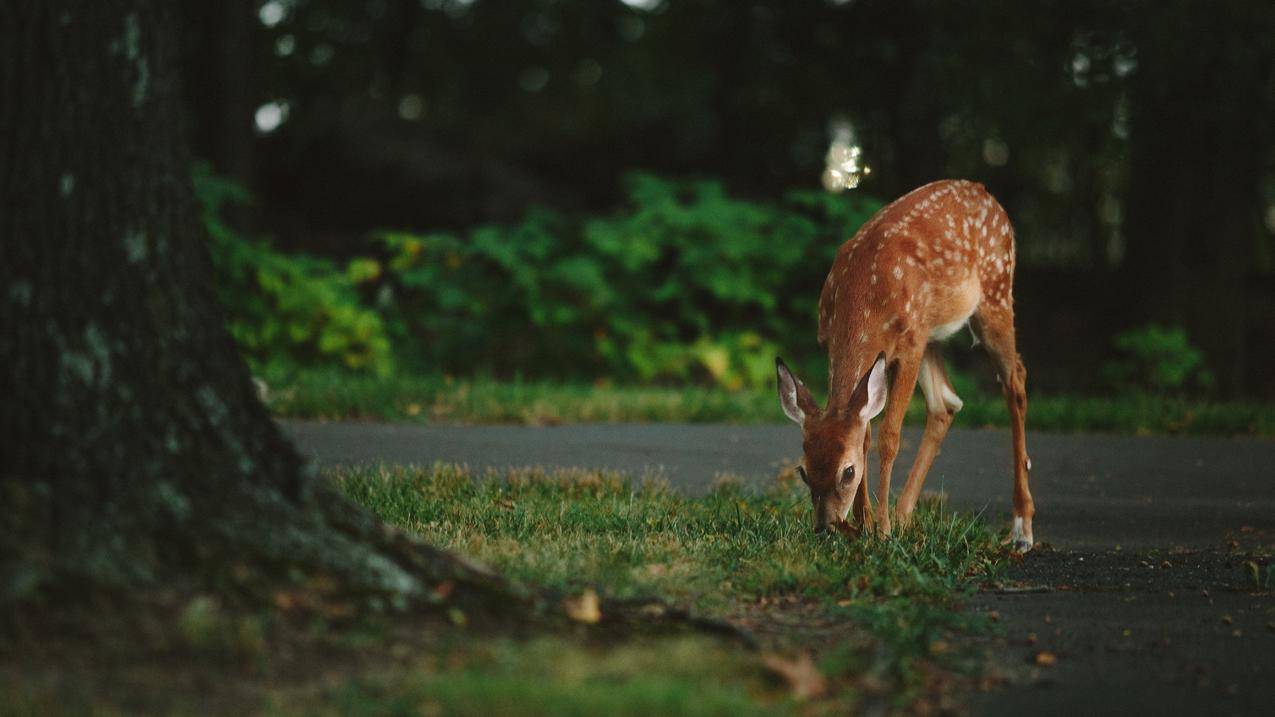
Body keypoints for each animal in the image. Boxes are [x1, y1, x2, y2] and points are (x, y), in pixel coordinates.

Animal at [775, 178, 1035, 553]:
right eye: (803, 471)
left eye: (848, 472)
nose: (825, 528)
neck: (863, 297)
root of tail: (984, 192)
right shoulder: (838, 343)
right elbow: (865, 432)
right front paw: (866, 524)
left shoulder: (909, 345)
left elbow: (888, 436)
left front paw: (880, 530)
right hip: (933, 333)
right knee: (946, 403)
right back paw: (903, 516)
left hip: (995, 294)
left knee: (1015, 382)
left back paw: (1021, 528)